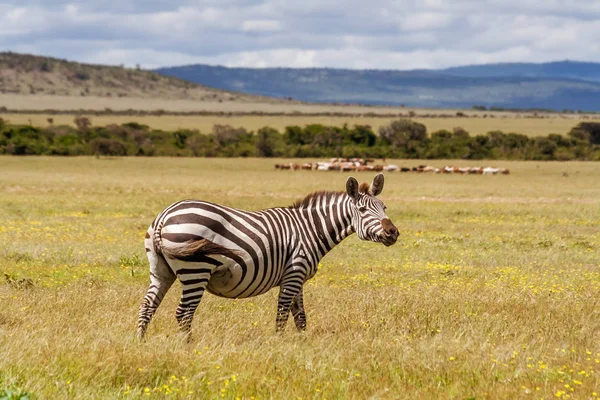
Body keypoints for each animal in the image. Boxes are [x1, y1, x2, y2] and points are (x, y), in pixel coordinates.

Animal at [137, 173, 398, 340]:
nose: (393, 232)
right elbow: (282, 313)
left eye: (384, 207)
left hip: (161, 271)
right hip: (196, 270)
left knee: (147, 306)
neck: (310, 229)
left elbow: (300, 316)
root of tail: (164, 215)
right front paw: (280, 345)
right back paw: (188, 346)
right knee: (184, 313)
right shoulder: (294, 273)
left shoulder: (296, 278)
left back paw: (141, 343)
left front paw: (302, 344)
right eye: (362, 210)